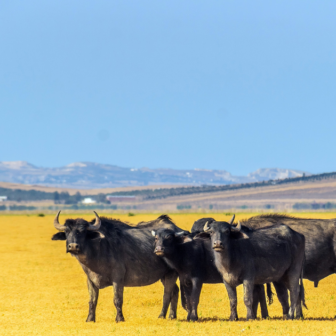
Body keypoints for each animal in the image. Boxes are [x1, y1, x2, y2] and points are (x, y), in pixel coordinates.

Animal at [52, 213, 184, 322]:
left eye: (83, 232)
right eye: (67, 232)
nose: (73, 246)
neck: (98, 250)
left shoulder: (118, 279)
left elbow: (117, 299)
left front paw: (120, 318)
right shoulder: (91, 280)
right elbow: (92, 301)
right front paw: (90, 319)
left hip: (171, 273)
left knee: (167, 294)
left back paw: (162, 316)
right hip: (164, 275)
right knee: (175, 291)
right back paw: (172, 316)